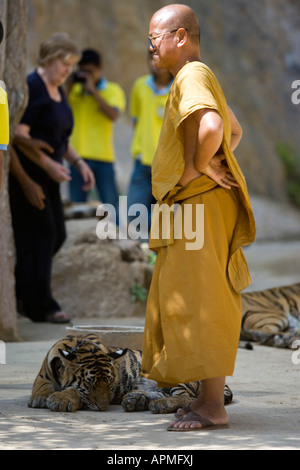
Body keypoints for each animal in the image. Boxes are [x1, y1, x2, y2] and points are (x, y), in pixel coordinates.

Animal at [28, 332, 233, 414]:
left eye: (110, 384)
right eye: (90, 384)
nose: (103, 407)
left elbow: (73, 390)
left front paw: (60, 400)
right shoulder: (43, 375)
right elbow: (41, 386)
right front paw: (40, 398)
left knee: (187, 398)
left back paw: (158, 404)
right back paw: (137, 399)